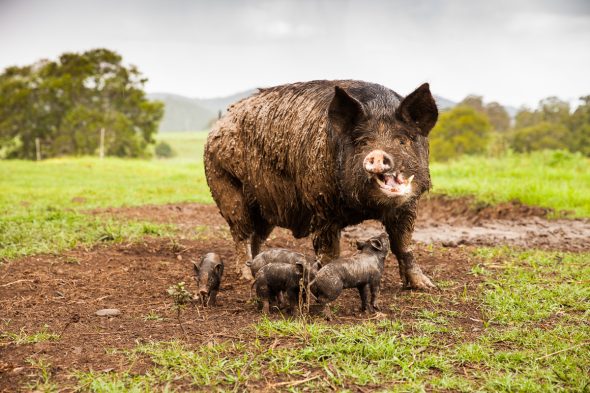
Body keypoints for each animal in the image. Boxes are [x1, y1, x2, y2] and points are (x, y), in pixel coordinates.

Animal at [204, 79, 440, 288]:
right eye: (363, 142)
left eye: (402, 140)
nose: (378, 154)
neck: (364, 208)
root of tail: (217, 126)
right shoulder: (321, 206)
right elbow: (329, 252)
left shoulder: (408, 205)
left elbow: (403, 244)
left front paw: (426, 286)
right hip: (225, 185)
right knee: (240, 232)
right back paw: (245, 277)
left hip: (265, 206)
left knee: (257, 236)